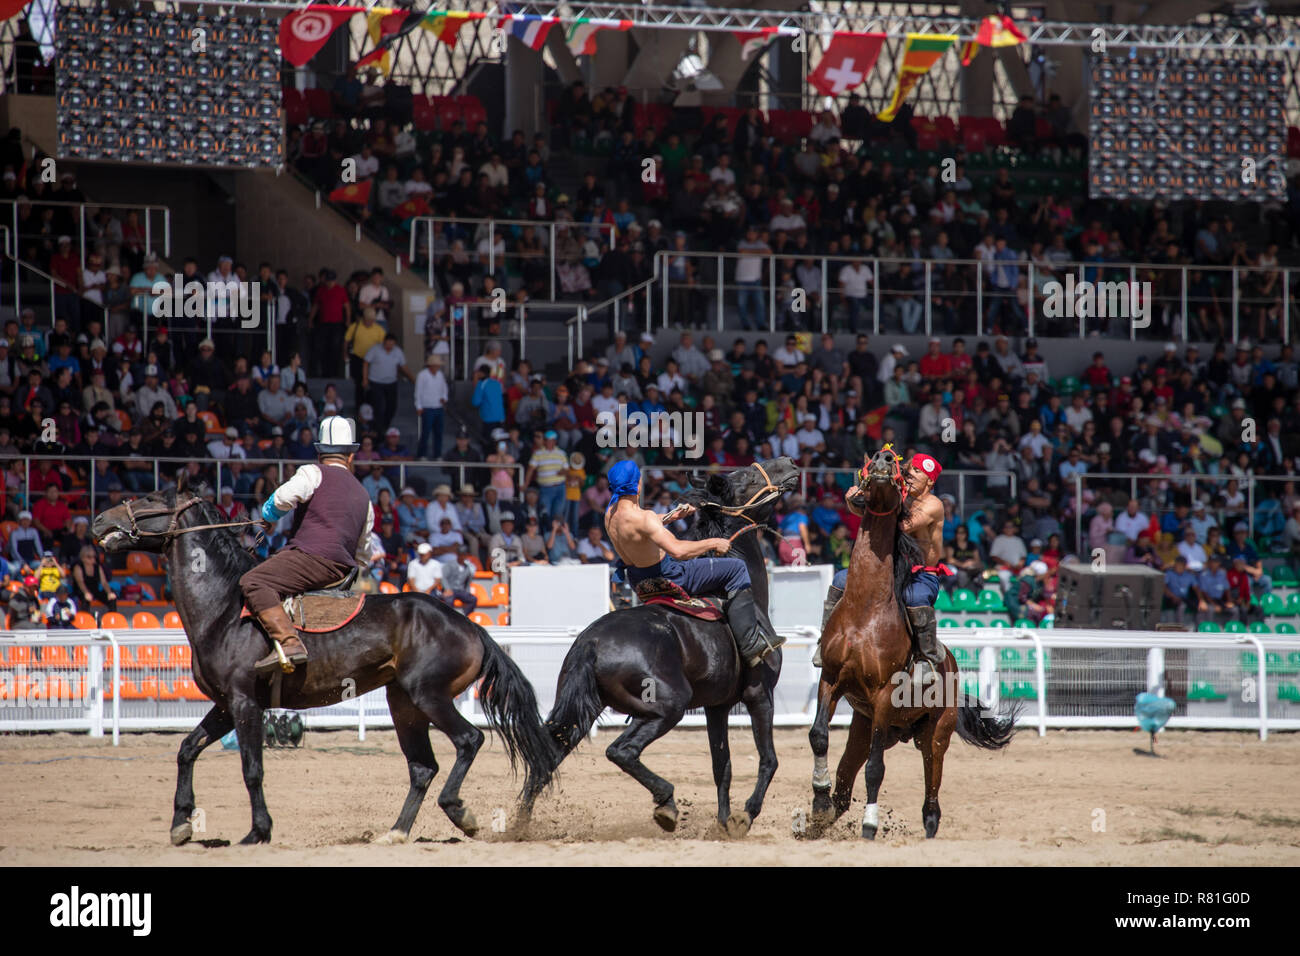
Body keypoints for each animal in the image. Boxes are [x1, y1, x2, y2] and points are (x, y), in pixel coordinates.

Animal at [92, 476, 553, 848]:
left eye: (151, 497)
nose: (98, 520)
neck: (225, 609)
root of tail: (471, 626)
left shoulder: (245, 703)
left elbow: (252, 769)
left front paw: (258, 832)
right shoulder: (224, 705)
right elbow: (187, 750)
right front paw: (181, 824)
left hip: (429, 697)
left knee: (468, 741)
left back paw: (459, 811)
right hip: (403, 705)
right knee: (423, 767)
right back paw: (396, 832)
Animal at [520, 455, 800, 837]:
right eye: (749, 476)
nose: (788, 463)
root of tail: (591, 643)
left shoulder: (716, 706)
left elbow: (722, 766)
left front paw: (723, 822)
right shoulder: (760, 694)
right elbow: (769, 760)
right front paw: (745, 816)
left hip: (583, 711)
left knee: (545, 760)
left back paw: (516, 824)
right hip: (667, 707)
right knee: (621, 751)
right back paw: (666, 803)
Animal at [806, 447, 1008, 837]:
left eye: (901, 476)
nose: (883, 459)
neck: (865, 610)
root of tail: (951, 665)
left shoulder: (884, 695)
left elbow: (876, 770)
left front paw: (870, 824)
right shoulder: (832, 679)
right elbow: (819, 735)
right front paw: (818, 801)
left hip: (936, 734)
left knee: (931, 793)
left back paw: (926, 823)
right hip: (864, 728)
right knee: (845, 784)